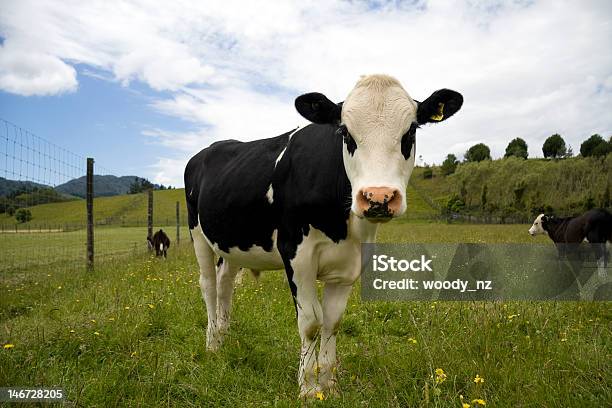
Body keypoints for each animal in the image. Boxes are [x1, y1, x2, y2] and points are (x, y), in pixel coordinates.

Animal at [184, 74, 462, 398]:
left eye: (412, 130)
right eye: (345, 132)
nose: (378, 197)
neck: (342, 227)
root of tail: (210, 148)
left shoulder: (351, 261)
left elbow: (332, 321)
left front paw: (328, 384)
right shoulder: (296, 253)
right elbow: (311, 323)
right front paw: (307, 387)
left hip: (232, 243)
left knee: (225, 284)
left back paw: (225, 337)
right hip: (198, 235)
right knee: (208, 285)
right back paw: (212, 344)